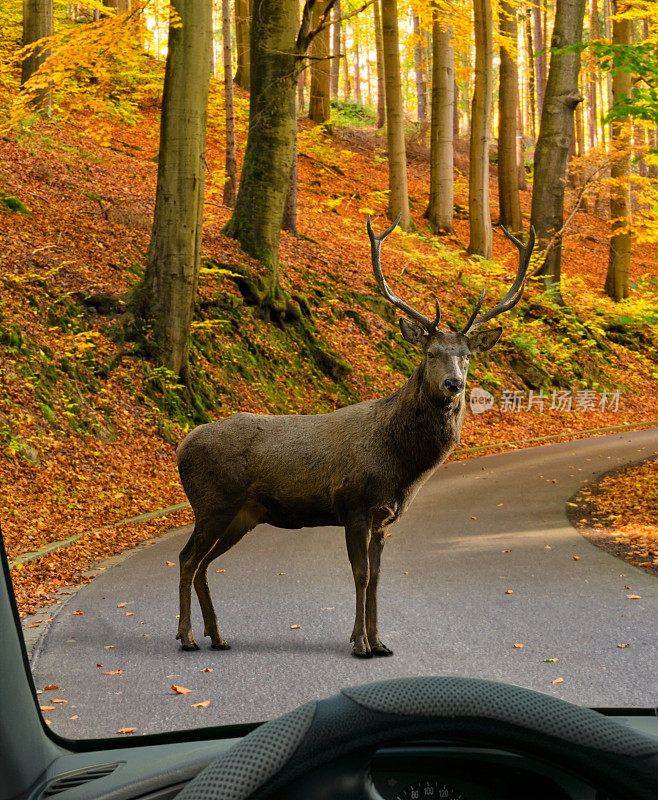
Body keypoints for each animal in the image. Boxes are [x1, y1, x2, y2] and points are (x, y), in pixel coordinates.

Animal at [174, 217, 532, 656]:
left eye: (467, 356)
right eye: (430, 353)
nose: (455, 384)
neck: (399, 467)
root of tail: (182, 445)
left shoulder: (383, 518)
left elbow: (377, 578)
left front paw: (380, 642)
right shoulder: (353, 504)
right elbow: (360, 575)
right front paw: (360, 643)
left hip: (241, 514)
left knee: (204, 563)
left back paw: (217, 635)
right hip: (212, 502)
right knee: (187, 558)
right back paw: (187, 636)